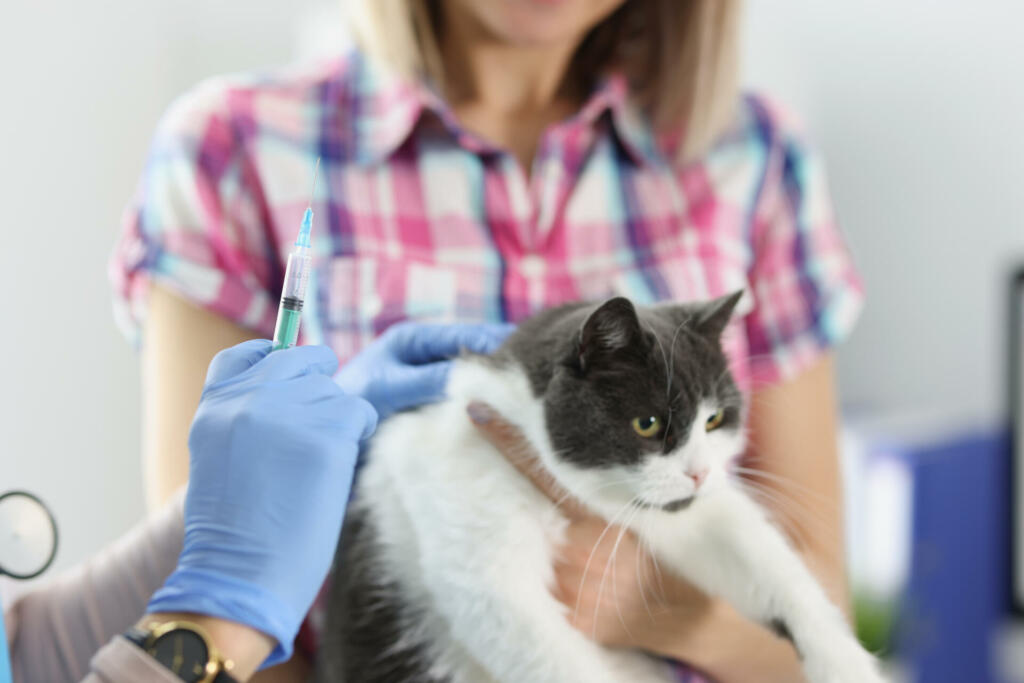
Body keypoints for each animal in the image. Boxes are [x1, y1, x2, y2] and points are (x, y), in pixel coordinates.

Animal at [317, 294, 880, 683]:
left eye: (716, 419)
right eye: (647, 423)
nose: (699, 473)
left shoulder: (685, 513)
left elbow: (770, 563)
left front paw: (846, 663)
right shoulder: (472, 517)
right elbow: (539, 646)